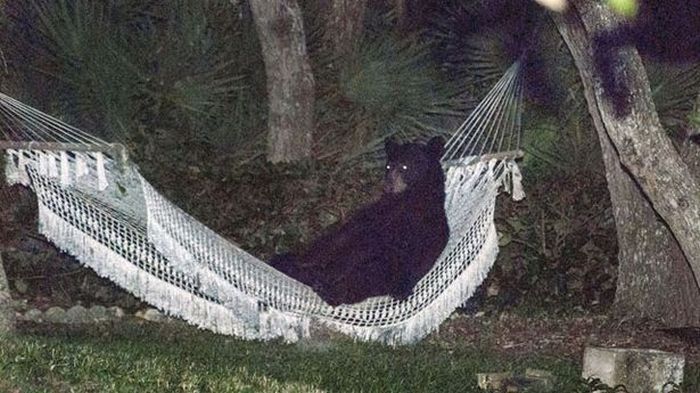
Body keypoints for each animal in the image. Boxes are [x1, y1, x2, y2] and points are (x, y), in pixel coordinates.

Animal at [270, 138, 452, 306]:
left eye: (405, 167)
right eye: (388, 166)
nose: (388, 185)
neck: (408, 199)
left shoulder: (416, 226)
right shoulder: (374, 217)